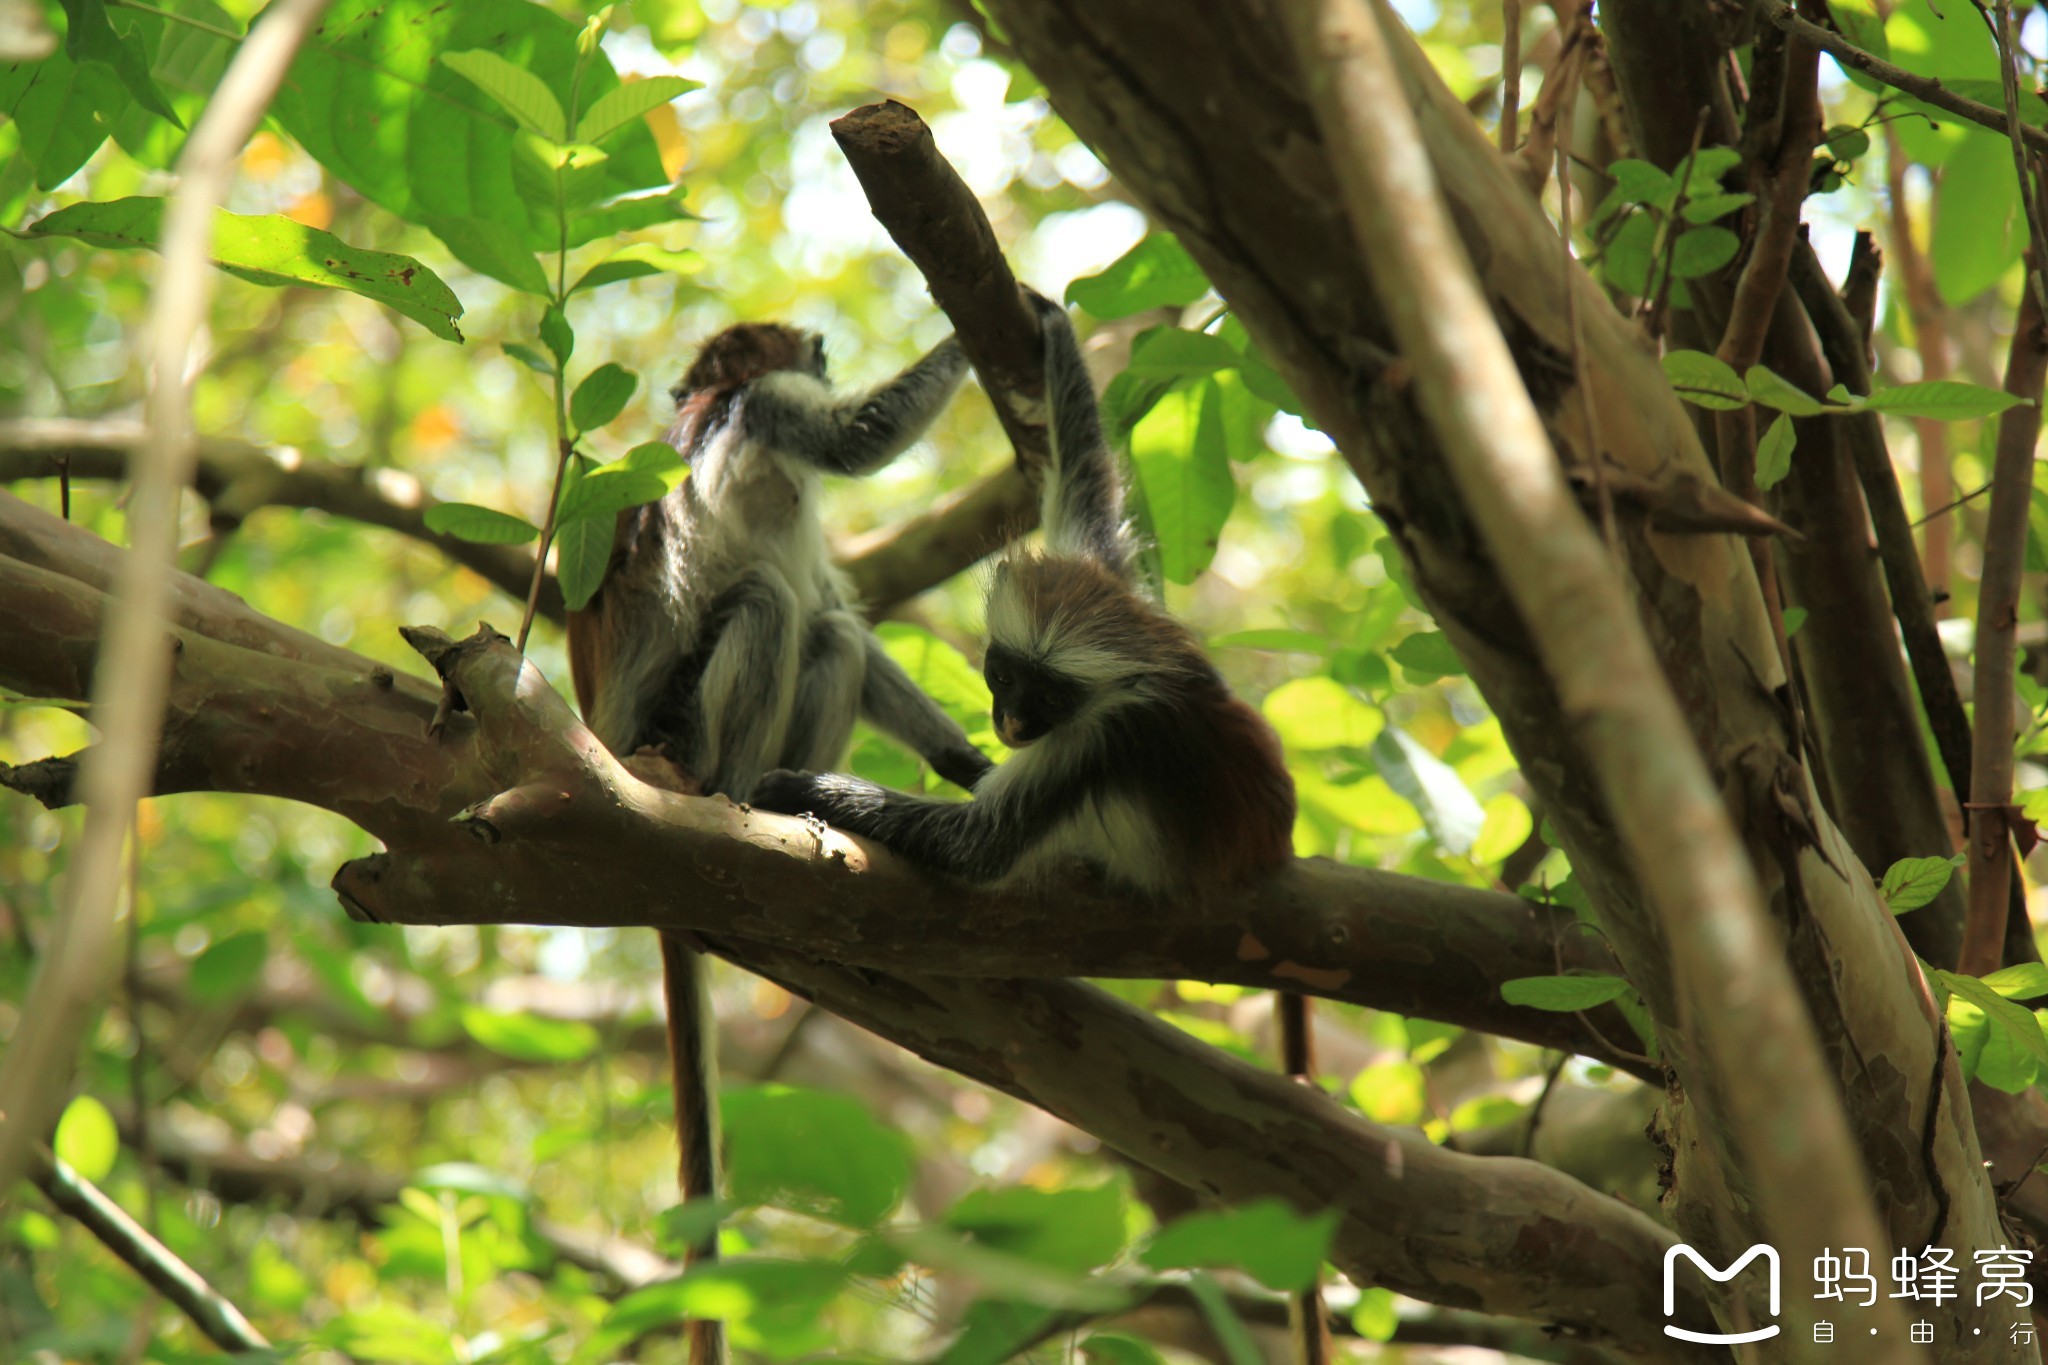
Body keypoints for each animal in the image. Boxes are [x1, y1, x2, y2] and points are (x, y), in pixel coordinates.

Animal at [569, 323, 999, 1365]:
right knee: (769, 599)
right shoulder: (768, 407)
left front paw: (969, 765)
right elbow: (855, 437)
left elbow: (845, 619)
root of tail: (615, 745)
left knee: (829, 632)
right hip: (676, 729)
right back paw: (735, 797)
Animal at [753, 294, 1327, 1358]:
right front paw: (1056, 336)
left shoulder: (1105, 733)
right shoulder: (1106, 584)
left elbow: (976, 850)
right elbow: (1086, 481)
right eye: (1001, 673)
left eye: (1044, 694)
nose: (1013, 722)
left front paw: (799, 784)